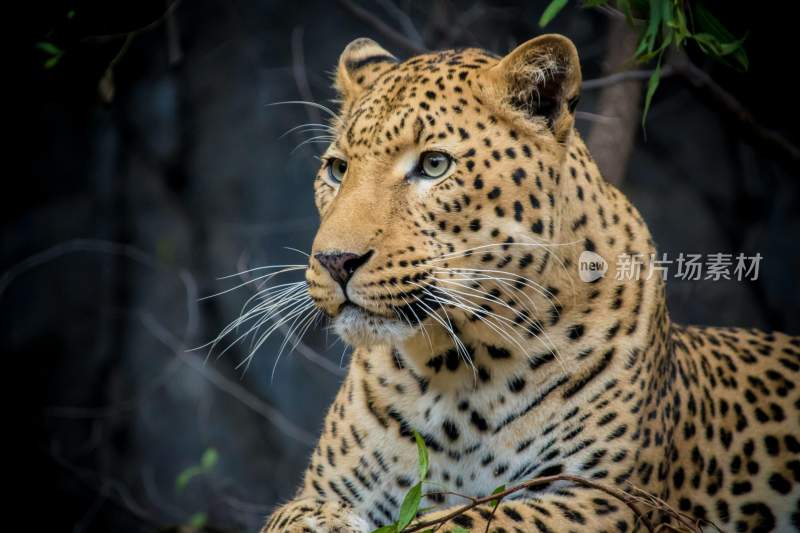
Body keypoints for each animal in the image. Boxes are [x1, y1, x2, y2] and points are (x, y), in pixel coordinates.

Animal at [260, 35, 796, 528]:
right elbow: (292, 516)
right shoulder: (320, 491)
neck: (455, 375)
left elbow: (469, 519)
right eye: (337, 169)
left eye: (434, 165)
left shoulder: (604, 499)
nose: (335, 261)